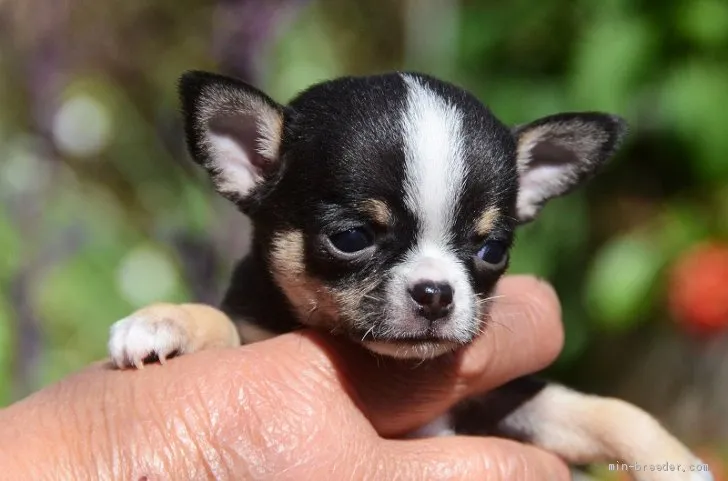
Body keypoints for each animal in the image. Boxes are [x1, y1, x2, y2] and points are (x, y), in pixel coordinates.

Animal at [108, 71, 712, 480]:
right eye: (350, 238)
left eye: (493, 250)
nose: (436, 293)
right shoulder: (255, 329)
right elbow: (221, 321)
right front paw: (167, 321)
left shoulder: (503, 399)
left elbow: (605, 411)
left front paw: (680, 462)